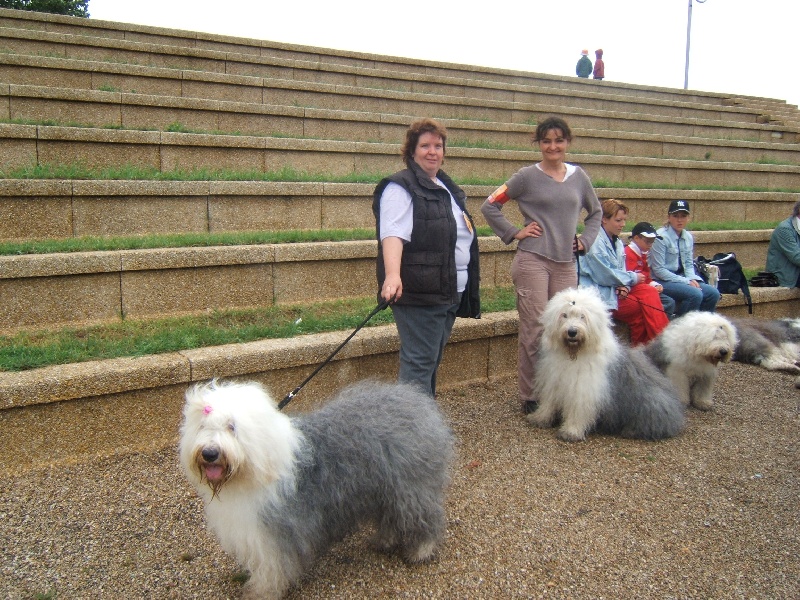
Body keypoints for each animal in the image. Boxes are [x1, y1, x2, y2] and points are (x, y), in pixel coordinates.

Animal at [183, 380, 456, 600]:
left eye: (232, 427)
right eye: (203, 426)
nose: (210, 453)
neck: (257, 466)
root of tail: (418, 401)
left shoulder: (277, 532)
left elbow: (273, 567)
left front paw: (262, 591)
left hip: (411, 488)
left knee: (424, 517)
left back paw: (421, 550)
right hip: (385, 489)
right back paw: (385, 541)